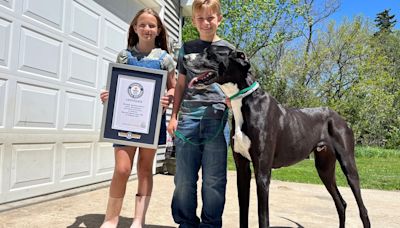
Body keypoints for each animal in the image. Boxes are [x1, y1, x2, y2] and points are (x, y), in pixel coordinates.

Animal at [186, 45, 370, 227]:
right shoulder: (242, 169)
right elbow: (243, 213)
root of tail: (339, 117)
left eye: (210, 53)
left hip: (348, 165)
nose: (184, 57)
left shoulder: (262, 173)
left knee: (363, 209)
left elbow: (263, 218)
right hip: (324, 168)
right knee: (341, 203)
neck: (246, 101)